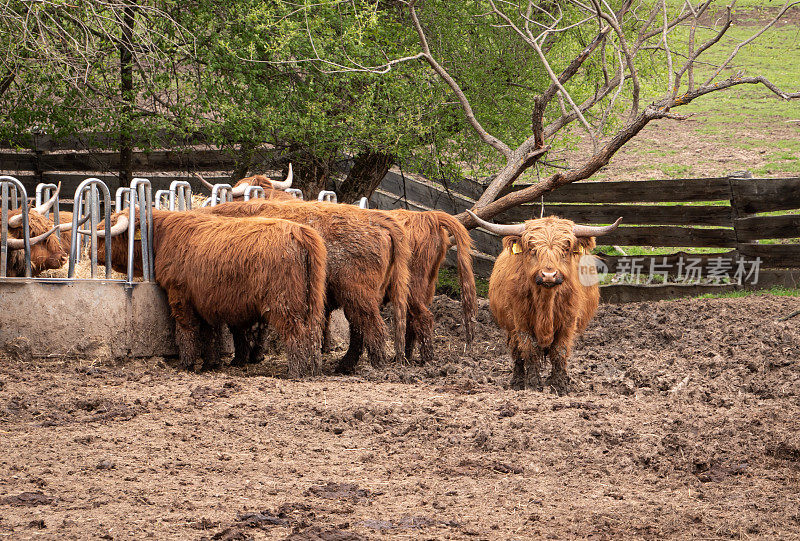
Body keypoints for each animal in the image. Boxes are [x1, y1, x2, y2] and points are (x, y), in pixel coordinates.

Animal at [92, 208, 330, 376]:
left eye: (108, 235)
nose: (91, 251)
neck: (162, 236)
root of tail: (300, 232)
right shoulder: (205, 300)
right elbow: (210, 334)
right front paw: (210, 363)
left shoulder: (180, 295)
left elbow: (186, 329)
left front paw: (186, 364)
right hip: (312, 302)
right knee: (313, 332)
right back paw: (313, 368)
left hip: (285, 303)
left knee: (296, 331)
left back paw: (296, 371)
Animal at [205, 198, 412, 372]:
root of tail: (377, 219)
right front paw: (253, 356)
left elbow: (239, 328)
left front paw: (240, 359)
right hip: (361, 300)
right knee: (359, 329)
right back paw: (345, 366)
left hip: (357, 297)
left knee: (372, 328)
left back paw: (375, 366)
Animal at [386, 210, 476, 362]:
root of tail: (429, 215)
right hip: (427, 283)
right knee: (412, 320)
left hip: (412, 284)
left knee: (423, 316)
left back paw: (424, 359)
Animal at [466, 210, 620, 392]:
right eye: (532, 249)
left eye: (565, 249)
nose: (549, 275)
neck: (546, 302)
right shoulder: (521, 321)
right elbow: (530, 350)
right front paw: (534, 384)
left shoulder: (568, 322)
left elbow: (559, 352)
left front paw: (559, 385)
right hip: (510, 327)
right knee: (517, 352)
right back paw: (517, 382)